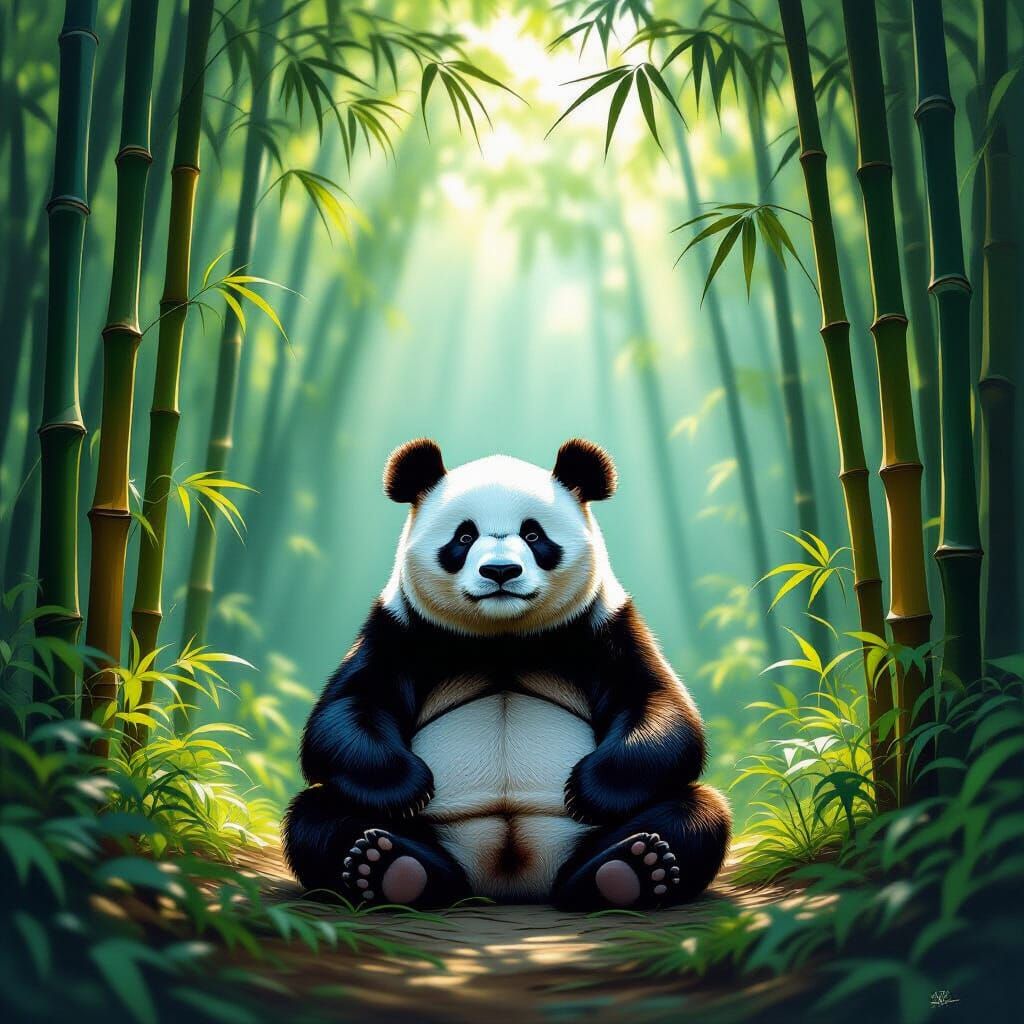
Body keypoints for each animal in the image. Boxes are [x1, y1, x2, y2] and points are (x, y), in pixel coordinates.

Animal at [284, 438, 730, 910]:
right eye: (464, 537)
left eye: (533, 535)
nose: (500, 571)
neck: (503, 636)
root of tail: (509, 882)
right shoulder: (399, 631)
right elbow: (347, 712)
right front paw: (409, 788)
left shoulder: (605, 627)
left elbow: (661, 709)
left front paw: (585, 792)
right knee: (316, 816)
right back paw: (393, 868)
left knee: (696, 811)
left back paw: (627, 869)